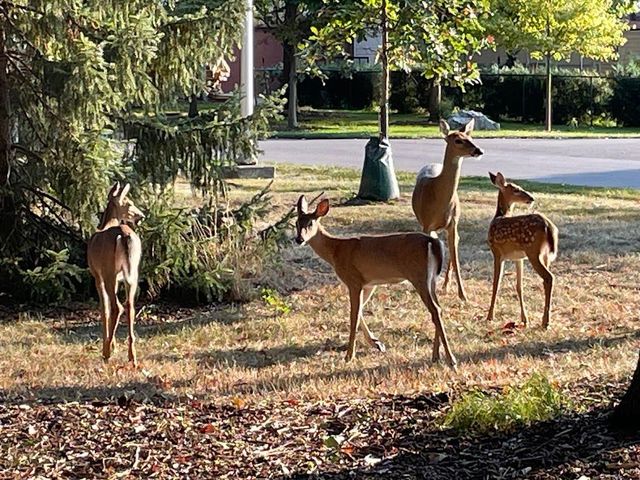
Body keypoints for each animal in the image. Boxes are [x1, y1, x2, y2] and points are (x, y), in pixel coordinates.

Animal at [87, 182, 144, 366]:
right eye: (129, 203)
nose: (141, 216)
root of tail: (124, 236)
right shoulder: (119, 279)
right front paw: (114, 346)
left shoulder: (97, 276)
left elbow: (103, 308)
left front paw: (110, 345)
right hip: (132, 272)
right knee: (129, 305)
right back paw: (132, 356)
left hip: (109, 271)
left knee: (116, 306)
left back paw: (106, 353)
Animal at [295, 195, 458, 369]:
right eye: (296, 223)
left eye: (310, 223)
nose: (299, 239)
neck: (336, 250)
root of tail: (433, 242)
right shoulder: (369, 284)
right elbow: (359, 311)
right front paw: (377, 343)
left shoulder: (353, 280)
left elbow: (353, 315)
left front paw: (349, 356)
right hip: (431, 279)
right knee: (438, 308)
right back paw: (435, 356)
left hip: (418, 276)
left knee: (435, 309)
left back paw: (451, 360)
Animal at [411, 119, 484, 302]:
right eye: (458, 140)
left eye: (470, 137)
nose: (478, 150)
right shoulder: (426, 224)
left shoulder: (453, 223)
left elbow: (456, 258)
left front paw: (463, 295)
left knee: (454, 244)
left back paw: (445, 285)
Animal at [486, 172, 559, 328]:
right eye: (516, 189)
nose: (531, 198)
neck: (499, 216)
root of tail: (548, 226)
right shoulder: (518, 258)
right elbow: (519, 286)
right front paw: (525, 319)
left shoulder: (497, 252)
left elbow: (496, 284)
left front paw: (489, 316)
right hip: (544, 255)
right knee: (547, 279)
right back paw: (544, 320)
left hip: (533, 252)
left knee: (549, 277)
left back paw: (546, 322)